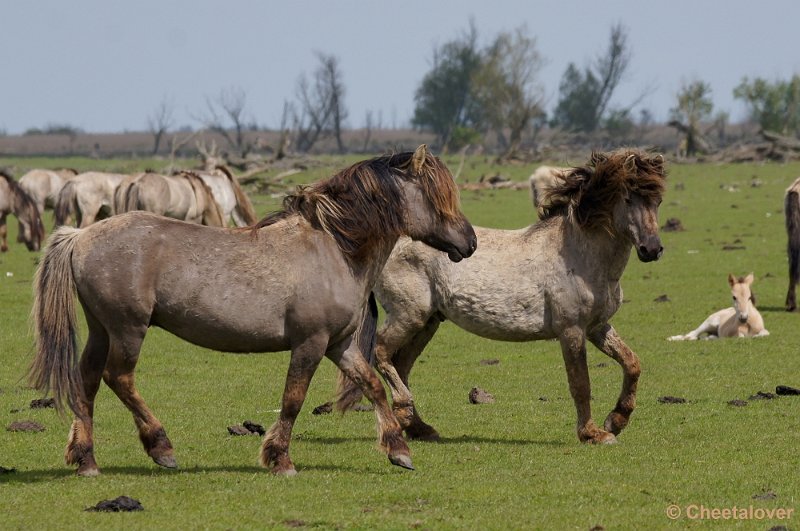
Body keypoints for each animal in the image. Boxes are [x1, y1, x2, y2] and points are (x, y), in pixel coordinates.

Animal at [31, 144, 478, 478]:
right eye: (436, 196)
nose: (469, 242)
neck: (334, 248)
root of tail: (81, 235)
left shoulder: (340, 346)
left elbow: (372, 385)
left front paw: (398, 449)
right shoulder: (310, 343)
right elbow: (293, 399)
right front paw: (280, 459)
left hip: (101, 329)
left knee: (87, 382)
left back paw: (86, 460)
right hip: (128, 329)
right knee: (118, 378)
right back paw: (161, 447)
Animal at [334, 148, 664, 446]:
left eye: (657, 200)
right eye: (628, 199)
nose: (652, 249)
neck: (578, 253)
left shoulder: (597, 327)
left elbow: (632, 363)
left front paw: (616, 420)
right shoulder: (571, 330)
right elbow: (580, 383)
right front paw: (593, 433)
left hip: (428, 322)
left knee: (401, 364)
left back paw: (419, 427)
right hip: (409, 315)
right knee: (381, 352)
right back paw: (405, 411)